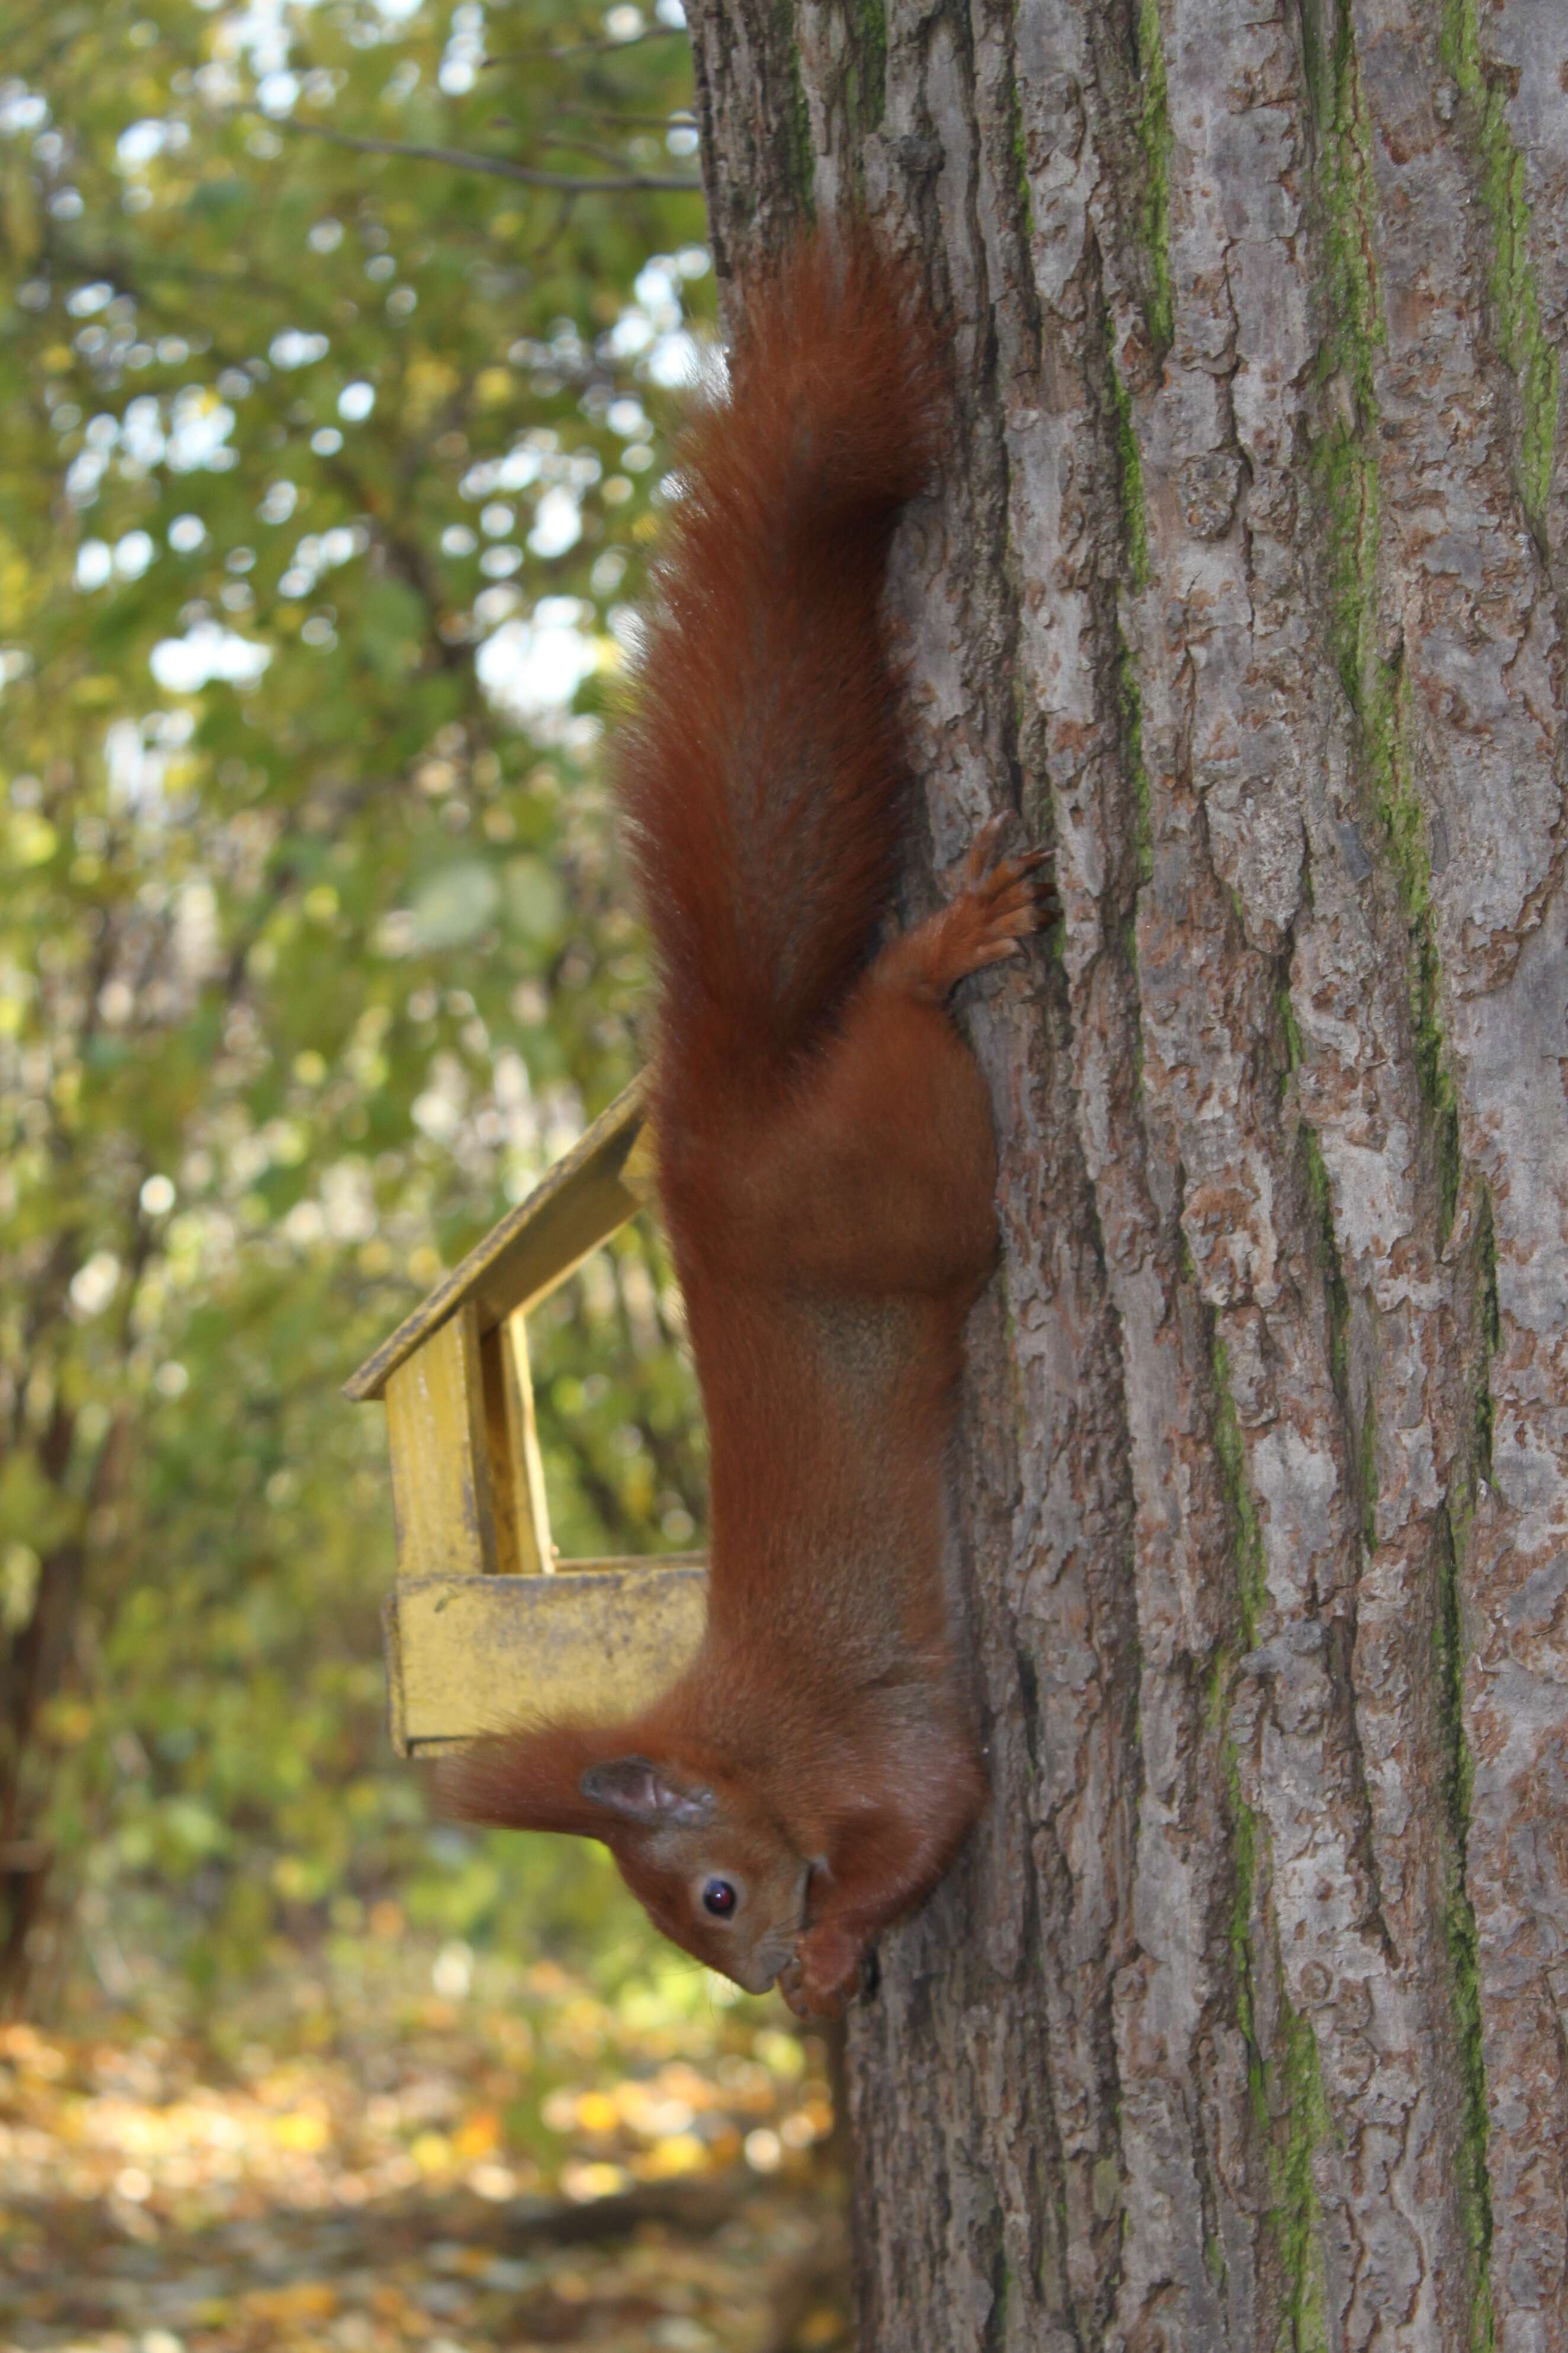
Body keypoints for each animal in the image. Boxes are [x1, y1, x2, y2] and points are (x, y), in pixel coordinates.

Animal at [435, 229, 1062, 2014]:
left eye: (709, 1898)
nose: (757, 1974)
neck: (748, 1749)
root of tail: (716, 1149)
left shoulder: (869, 1745)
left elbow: (934, 1809)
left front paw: (843, 1943)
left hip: (908, 1169)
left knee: (897, 1019)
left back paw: (941, 944)